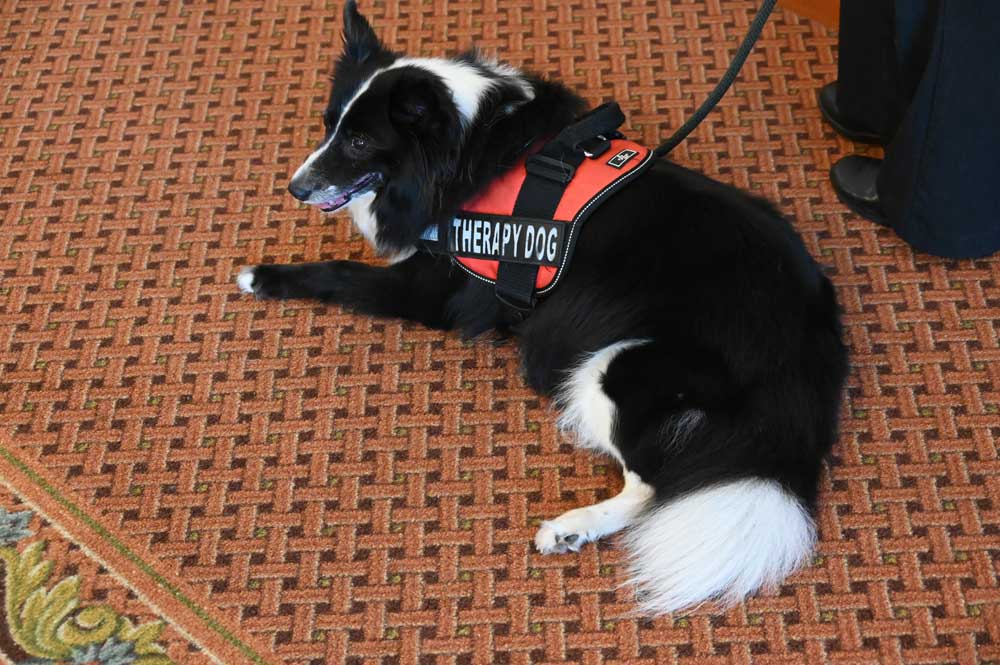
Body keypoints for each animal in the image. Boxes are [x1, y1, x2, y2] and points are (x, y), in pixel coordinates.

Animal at [238, 1, 848, 612]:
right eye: (328, 125)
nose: (295, 188)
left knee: (652, 481)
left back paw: (572, 526)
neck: (464, 150)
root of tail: (806, 360)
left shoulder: (433, 288)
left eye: (361, 143)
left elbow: (340, 273)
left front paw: (264, 276)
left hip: (613, 366)